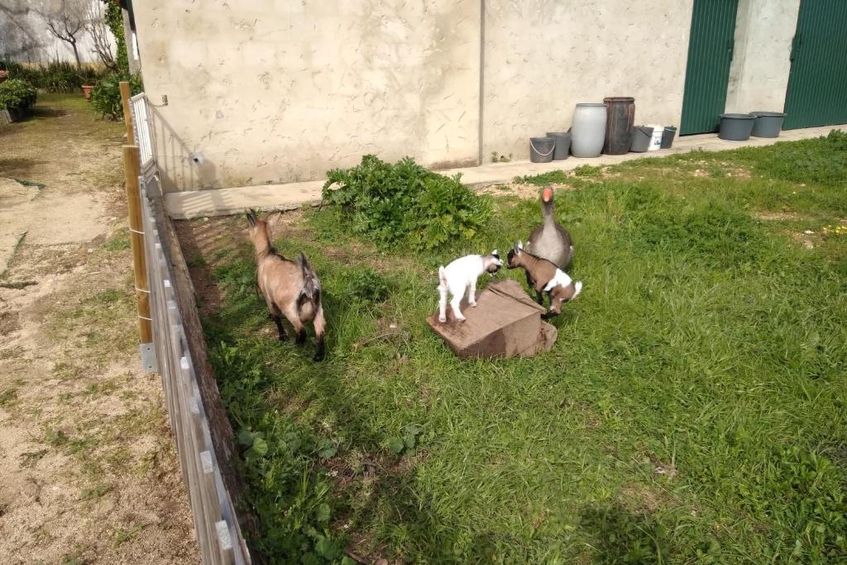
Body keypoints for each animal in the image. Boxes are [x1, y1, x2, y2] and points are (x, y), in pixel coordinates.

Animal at [246, 210, 326, 360]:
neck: (267, 255)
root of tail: (307, 278)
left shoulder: (268, 297)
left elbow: (276, 317)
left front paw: (282, 337)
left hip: (290, 308)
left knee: (301, 330)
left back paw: (296, 345)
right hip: (318, 308)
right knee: (320, 331)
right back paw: (318, 356)